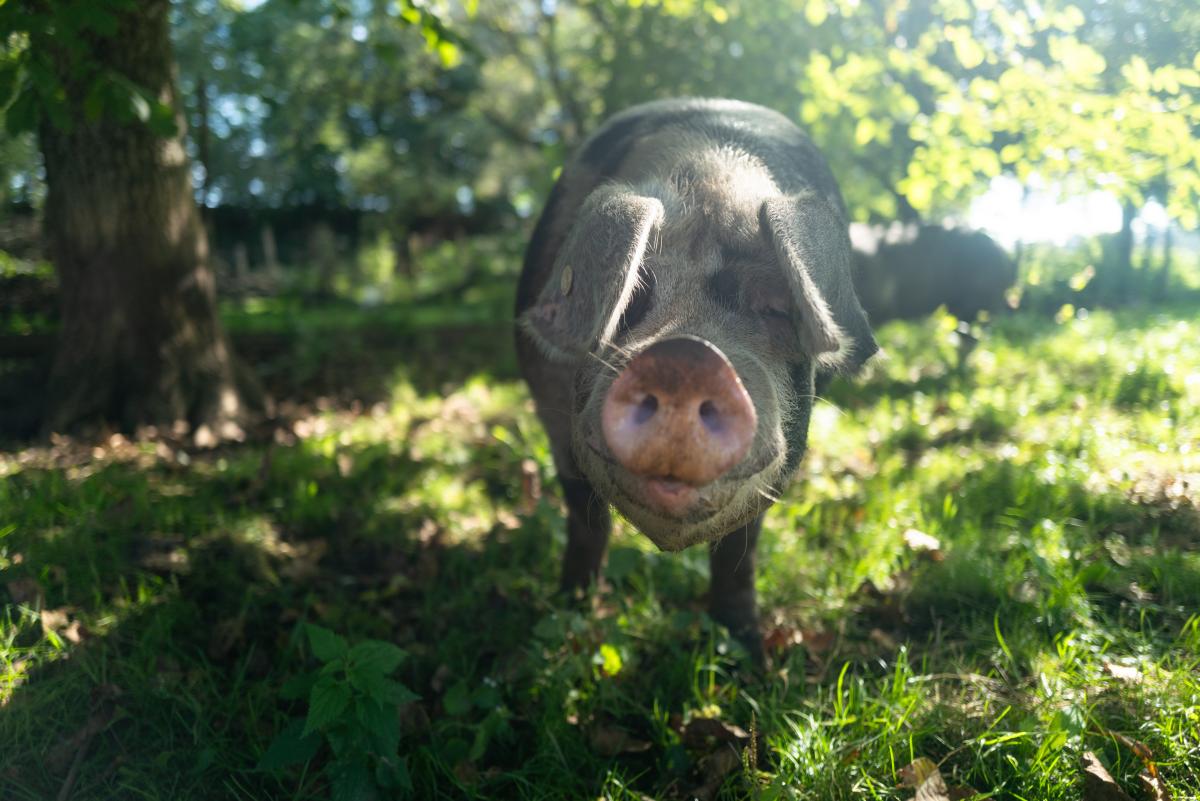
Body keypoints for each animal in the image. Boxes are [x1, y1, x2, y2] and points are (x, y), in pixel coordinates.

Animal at [511, 97, 878, 652]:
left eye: (776, 308)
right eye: (633, 297)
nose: (687, 357)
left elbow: (739, 549)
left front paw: (746, 650)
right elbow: (584, 515)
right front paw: (567, 614)